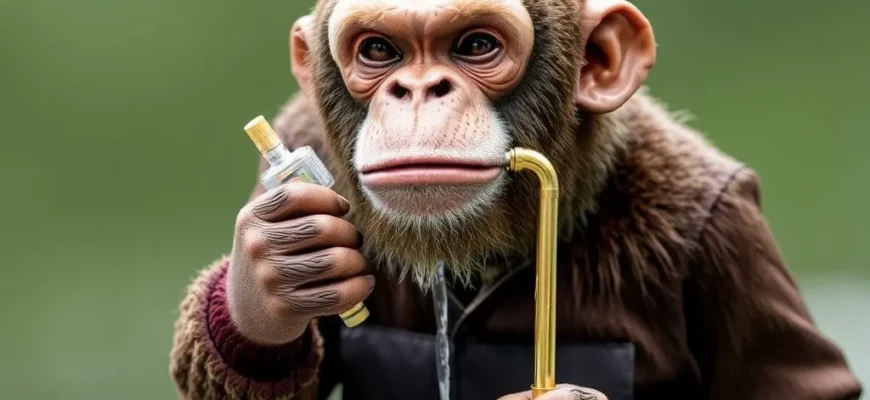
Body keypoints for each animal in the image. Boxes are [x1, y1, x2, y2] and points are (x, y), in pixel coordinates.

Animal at [169, 0, 863, 399]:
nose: (419, 89)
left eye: (476, 45)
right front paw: (276, 275)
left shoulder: (721, 224)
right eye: (379, 51)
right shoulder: (304, 135)